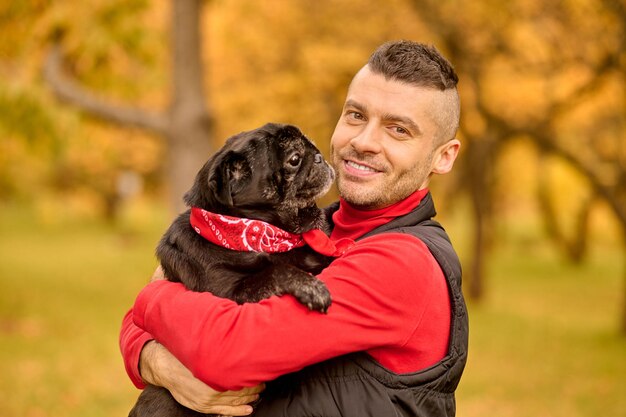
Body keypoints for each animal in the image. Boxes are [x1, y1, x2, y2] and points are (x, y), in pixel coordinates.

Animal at [129, 122, 338, 416]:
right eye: (294, 159)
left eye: (310, 145)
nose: (318, 156)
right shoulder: (233, 295)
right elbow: (276, 271)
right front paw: (310, 286)